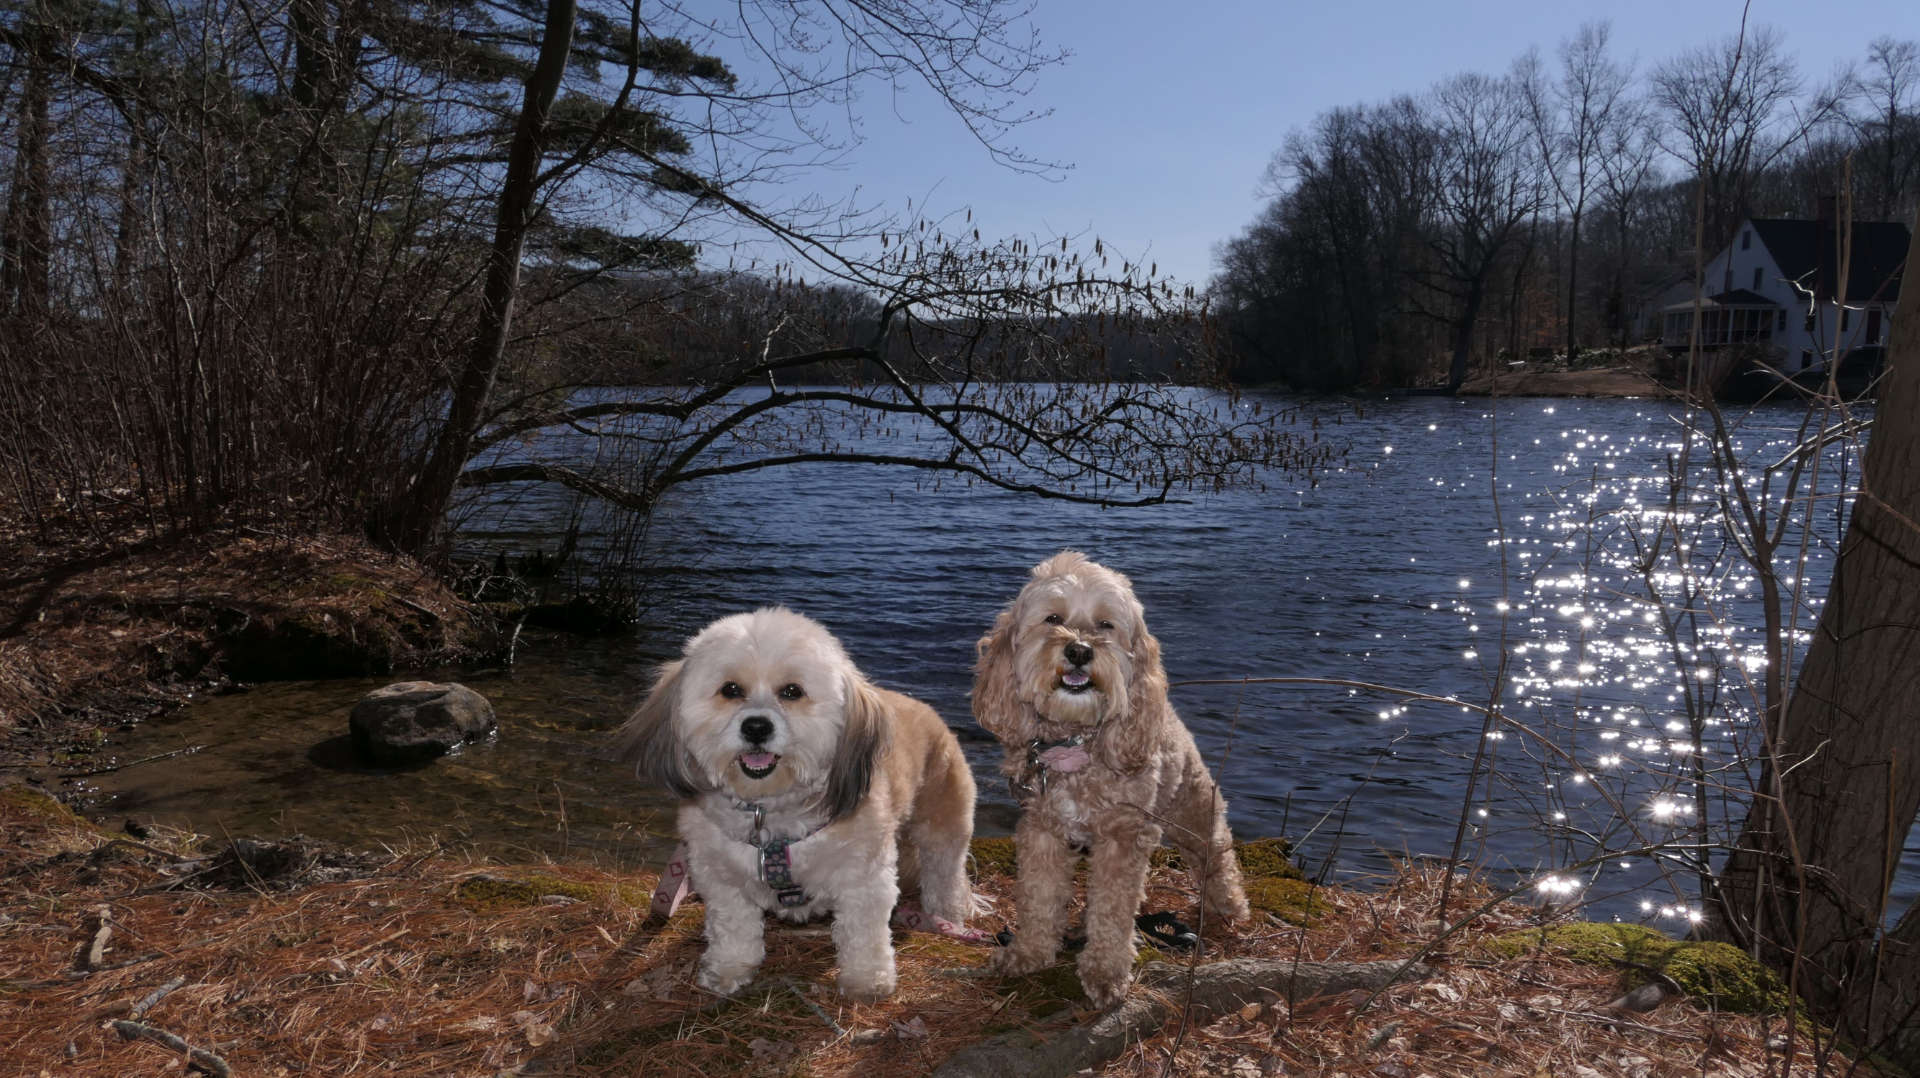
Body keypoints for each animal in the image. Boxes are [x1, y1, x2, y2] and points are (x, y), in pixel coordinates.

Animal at [614, 611, 975, 999]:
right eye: (730, 690)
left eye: (792, 691)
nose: (757, 727)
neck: (770, 818)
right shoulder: (721, 877)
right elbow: (734, 927)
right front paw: (729, 968)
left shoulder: (864, 879)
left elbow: (864, 934)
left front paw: (867, 980)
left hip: (945, 825)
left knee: (945, 872)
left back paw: (948, 915)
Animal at [975, 553, 1244, 1006]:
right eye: (1053, 618)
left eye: (1105, 625)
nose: (1079, 650)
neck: (1075, 743)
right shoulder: (1042, 830)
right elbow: (1039, 897)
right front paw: (1029, 954)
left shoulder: (1123, 836)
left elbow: (1113, 910)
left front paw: (1105, 972)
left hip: (1194, 811)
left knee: (1218, 855)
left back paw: (1231, 906)